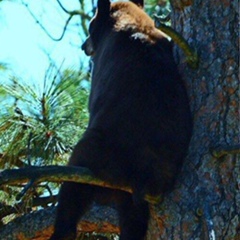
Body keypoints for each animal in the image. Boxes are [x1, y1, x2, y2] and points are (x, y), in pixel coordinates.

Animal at [49, 0, 192, 239]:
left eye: (90, 25)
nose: (83, 45)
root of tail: (139, 173)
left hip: (96, 155)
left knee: (74, 189)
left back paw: (62, 229)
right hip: (143, 188)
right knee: (133, 219)